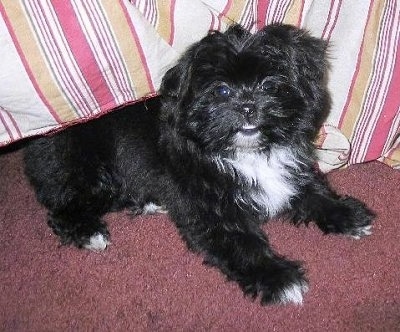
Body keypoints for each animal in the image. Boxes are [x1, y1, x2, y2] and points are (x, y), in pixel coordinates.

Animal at [24, 24, 376, 304]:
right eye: (221, 90)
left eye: (269, 85)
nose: (248, 106)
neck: (244, 153)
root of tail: (39, 140)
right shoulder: (211, 212)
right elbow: (242, 243)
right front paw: (279, 278)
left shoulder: (292, 171)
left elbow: (314, 192)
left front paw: (347, 215)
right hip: (92, 174)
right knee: (63, 209)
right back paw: (90, 233)